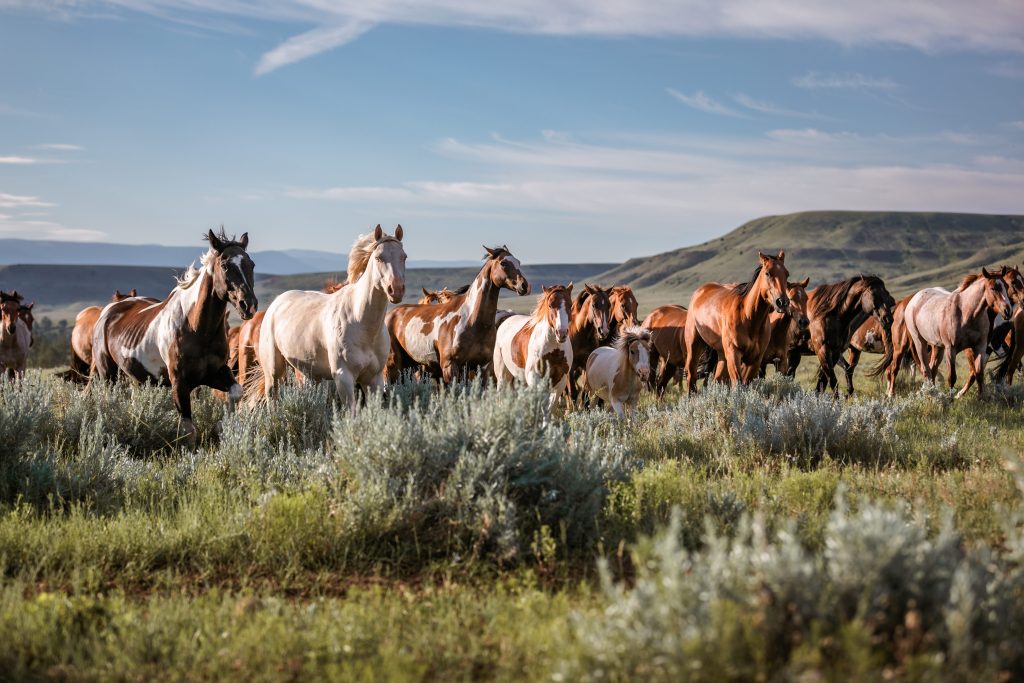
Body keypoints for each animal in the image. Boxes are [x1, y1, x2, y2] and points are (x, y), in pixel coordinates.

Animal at [91, 231, 258, 441]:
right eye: (225, 265)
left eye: (251, 264)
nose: (248, 305)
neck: (197, 329)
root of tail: (110, 309)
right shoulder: (179, 382)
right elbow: (188, 429)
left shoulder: (215, 372)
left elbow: (237, 392)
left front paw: (220, 426)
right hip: (108, 375)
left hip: (137, 379)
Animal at [258, 225, 405, 405]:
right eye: (378, 257)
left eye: (404, 257)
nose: (396, 290)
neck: (362, 323)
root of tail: (276, 302)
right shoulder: (344, 378)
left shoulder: (374, 379)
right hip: (274, 373)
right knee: (272, 396)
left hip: (310, 374)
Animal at [386, 245, 530, 383]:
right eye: (503, 263)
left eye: (518, 262)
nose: (525, 286)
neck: (472, 321)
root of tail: (390, 314)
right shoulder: (449, 367)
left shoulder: (481, 368)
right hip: (393, 366)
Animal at [683, 251, 791, 391]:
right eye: (767, 273)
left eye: (787, 274)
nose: (782, 302)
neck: (748, 317)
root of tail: (700, 291)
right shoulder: (734, 354)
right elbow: (738, 385)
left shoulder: (755, 359)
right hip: (694, 346)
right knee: (691, 378)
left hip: (722, 355)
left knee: (717, 380)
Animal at [904, 269, 1014, 399]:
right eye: (993, 288)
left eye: (1006, 286)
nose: (1008, 311)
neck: (966, 314)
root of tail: (914, 299)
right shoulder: (951, 349)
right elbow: (952, 377)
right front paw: (950, 399)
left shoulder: (980, 347)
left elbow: (979, 374)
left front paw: (981, 398)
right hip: (920, 342)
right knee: (926, 370)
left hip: (937, 347)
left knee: (932, 369)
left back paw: (932, 394)